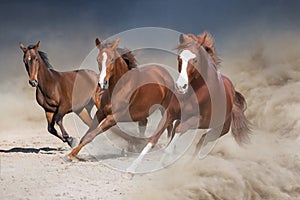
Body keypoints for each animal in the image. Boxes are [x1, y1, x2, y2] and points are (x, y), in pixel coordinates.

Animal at [126, 32, 251, 172]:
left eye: (195, 60)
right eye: (179, 58)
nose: (181, 86)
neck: (193, 94)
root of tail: (232, 93)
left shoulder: (197, 120)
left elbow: (177, 135)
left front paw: (164, 161)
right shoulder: (170, 114)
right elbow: (154, 139)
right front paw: (131, 169)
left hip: (219, 130)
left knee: (201, 142)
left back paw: (189, 165)